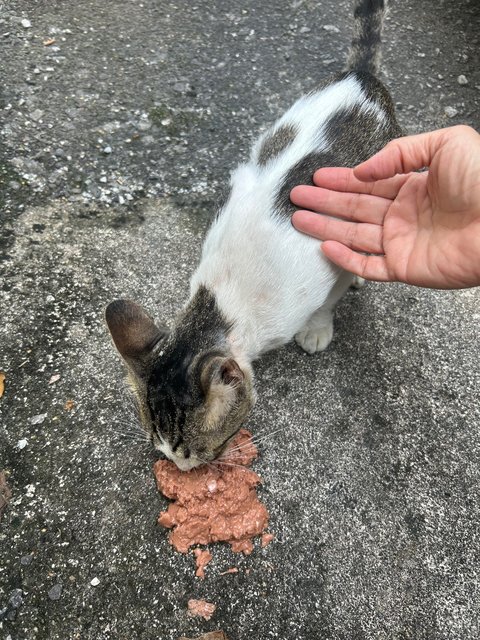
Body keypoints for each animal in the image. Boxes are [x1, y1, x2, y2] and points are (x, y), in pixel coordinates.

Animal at [105, 0, 402, 470]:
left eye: (200, 450)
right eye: (160, 447)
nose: (182, 469)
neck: (222, 303)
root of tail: (360, 77)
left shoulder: (324, 257)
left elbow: (328, 298)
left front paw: (318, 327)